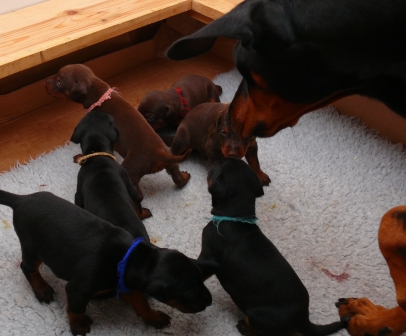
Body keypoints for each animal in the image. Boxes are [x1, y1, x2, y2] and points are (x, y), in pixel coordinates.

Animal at [0, 190, 214, 334]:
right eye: (192, 290)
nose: (210, 301)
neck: (128, 258)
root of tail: (22, 199)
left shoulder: (126, 283)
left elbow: (141, 302)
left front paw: (152, 317)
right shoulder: (78, 289)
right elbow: (76, 308)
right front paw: (78, 325)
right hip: (32, 247)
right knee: (27, 267)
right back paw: (42, 289)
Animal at [198, 158, 344, 336]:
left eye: (220, 164)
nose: (216, 158)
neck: (235, 216)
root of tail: (303, 320)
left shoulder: (207, 254)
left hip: (256, 315)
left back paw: (243, 327)